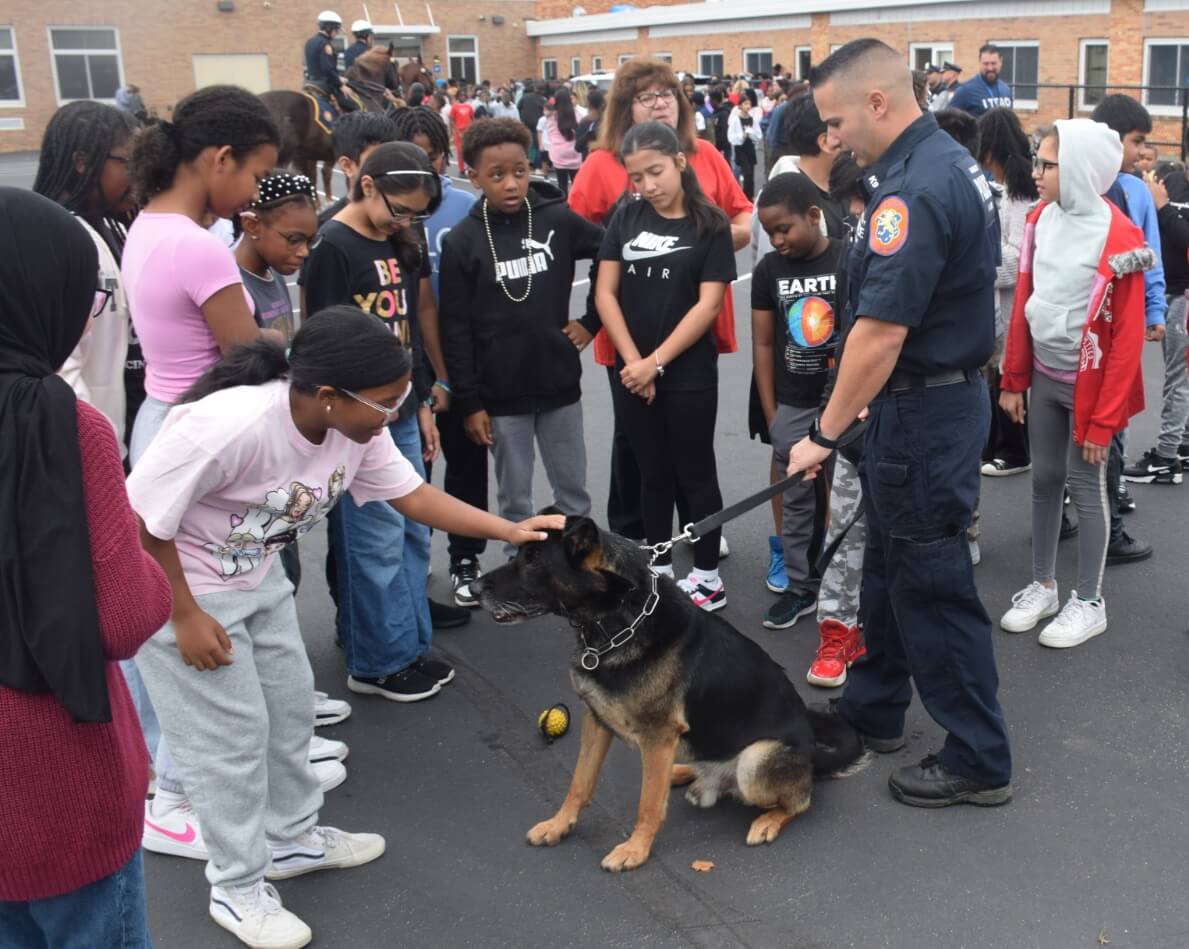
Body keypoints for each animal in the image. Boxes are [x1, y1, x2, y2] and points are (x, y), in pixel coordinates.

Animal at [468, 516, 870, 875]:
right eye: (519, 554)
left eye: (534, 561)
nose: (474, 589)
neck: (620, 621)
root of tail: (814, 753)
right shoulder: (596, 721)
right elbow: (579, 782)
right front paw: (558, 824)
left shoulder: (657, 734)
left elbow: (648, 805)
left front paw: (635, 849)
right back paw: (684, 773)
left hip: (755, 762)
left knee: (801, 801)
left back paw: (768, 820)